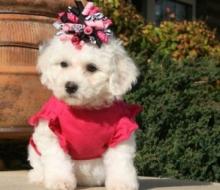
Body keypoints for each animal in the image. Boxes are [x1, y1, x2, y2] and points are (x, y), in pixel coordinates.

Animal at [27, 35, 141, 190]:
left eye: (91, 68)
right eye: (63, 64)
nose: (70, 86)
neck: (85, 108)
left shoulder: (122, 132)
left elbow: (120, 161)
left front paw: (122, 183)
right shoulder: (50, 131)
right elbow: (57, 158)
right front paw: (60, 181)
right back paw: (38, 177)